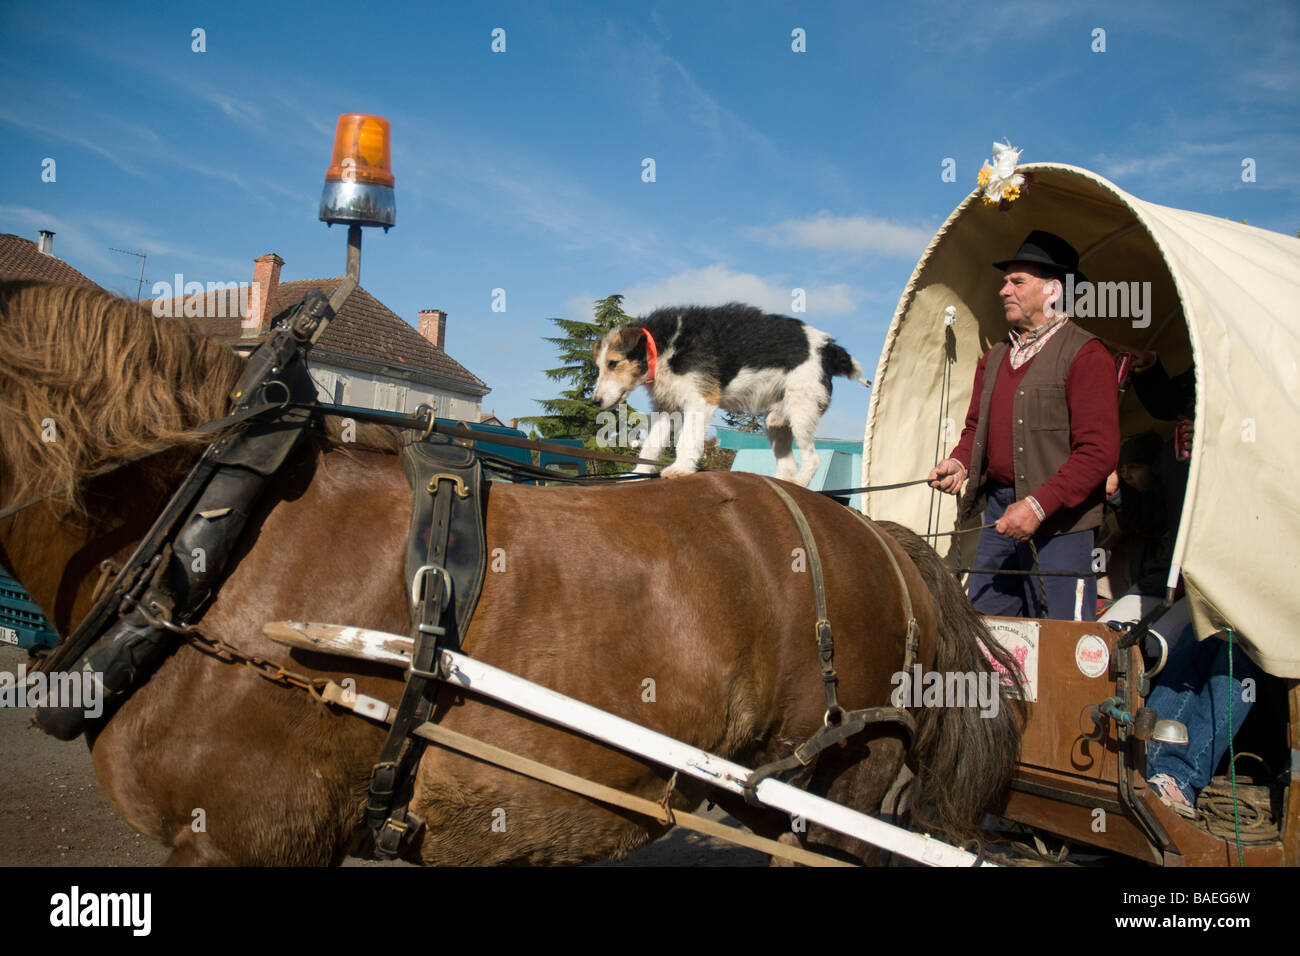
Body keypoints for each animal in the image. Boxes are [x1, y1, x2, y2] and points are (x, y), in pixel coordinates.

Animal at [595, 303, 868, 486]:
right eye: (600, 365)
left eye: (613, 363)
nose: (595, 401)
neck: (664, 343)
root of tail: (829, 349)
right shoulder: (665, 406)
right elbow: (651, 446)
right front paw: (637, 475)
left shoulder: (700, 400)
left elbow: (687, 440)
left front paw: (681, 468)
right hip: (776, 421)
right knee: (789, 463)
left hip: (801, 411)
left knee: (813, 460)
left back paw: (798, 483)